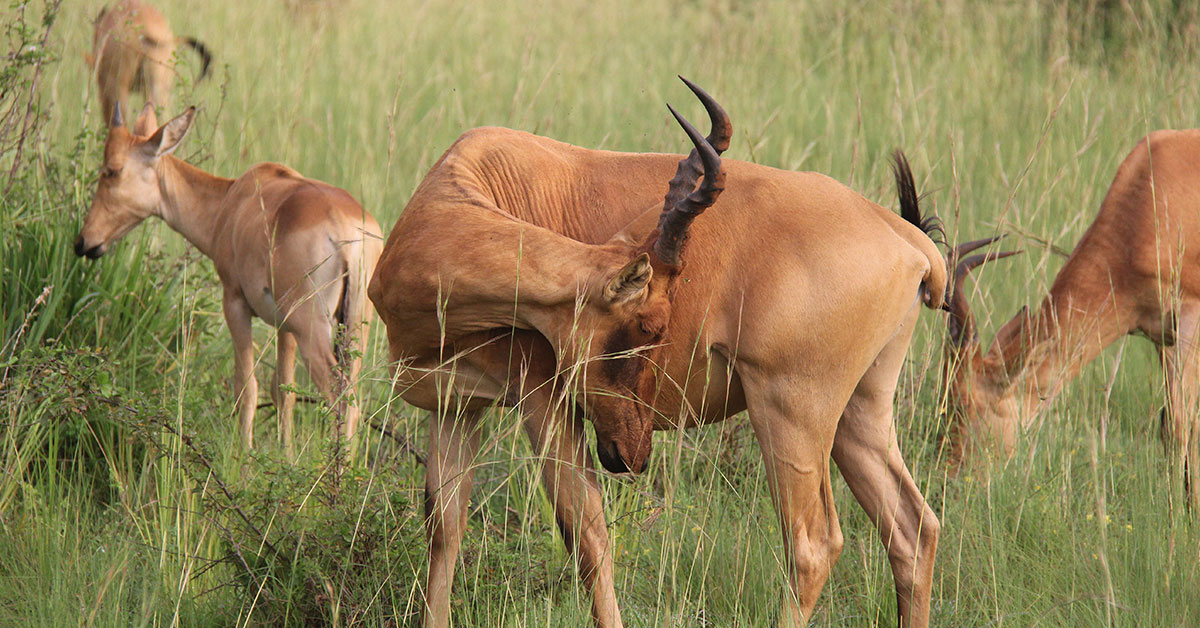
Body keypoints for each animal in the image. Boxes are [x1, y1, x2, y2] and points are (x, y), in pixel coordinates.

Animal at [75, 104, 381, 456]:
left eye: (112, 170)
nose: (84, 242)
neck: (234, 197)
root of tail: (345, 227)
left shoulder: (235, 302)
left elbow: (247, 388)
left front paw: (243, 460)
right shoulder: (284, 326)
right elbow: (284, 391)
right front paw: (286, 457)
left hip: (312, 328)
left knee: (339, 397)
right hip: (353, 327)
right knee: (352, 398)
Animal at [369, 79, 950, 628]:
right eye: (649, 325)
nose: (634, 456)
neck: (469, 183)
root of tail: (903, 236)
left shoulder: (544, 401)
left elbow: (587, 531)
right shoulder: (456, 405)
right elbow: (444, 527)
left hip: (791, 411)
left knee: (811, 544)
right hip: (861, 410)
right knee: (913, 527)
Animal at [945, 130, 1200, 509]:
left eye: (966, 405)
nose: (951, 482)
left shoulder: (1190, 320)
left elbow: (1184, 424)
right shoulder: (1162, 335)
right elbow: (1170, 424)